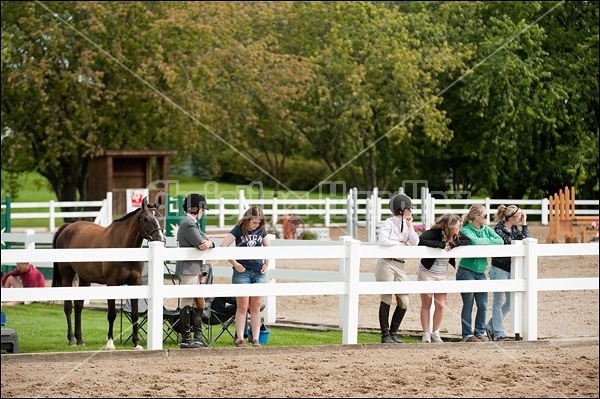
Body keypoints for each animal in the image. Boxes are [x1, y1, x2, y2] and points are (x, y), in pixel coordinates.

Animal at [50, 197, 164, 350]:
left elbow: (134, 315)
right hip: (67, 276)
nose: (161, 239)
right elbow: (111, 314)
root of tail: (67, 228)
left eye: (160, 217)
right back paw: (72, 340)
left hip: (85, 279)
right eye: (145, 219)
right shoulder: (112, 283)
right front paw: (110, 343)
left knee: (79, 306)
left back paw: (80, 339)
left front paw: (136, 343)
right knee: (68, 307)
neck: (123, 246)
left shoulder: (135, 283)